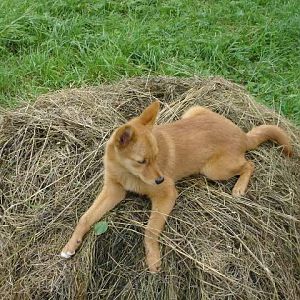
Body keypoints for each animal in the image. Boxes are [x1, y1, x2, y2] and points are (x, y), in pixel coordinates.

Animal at [59, 100, 292, 272]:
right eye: (142, 161)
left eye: (156, 157)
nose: (160, 180)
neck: (127, 173)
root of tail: (242, 135)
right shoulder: (113, 191)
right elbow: (85, 218)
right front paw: (70, 246)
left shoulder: (167, 195)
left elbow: (150, 230)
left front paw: (153, 258)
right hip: (193, 111)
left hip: (214, 169)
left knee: (250, 164)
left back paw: (239, 188)